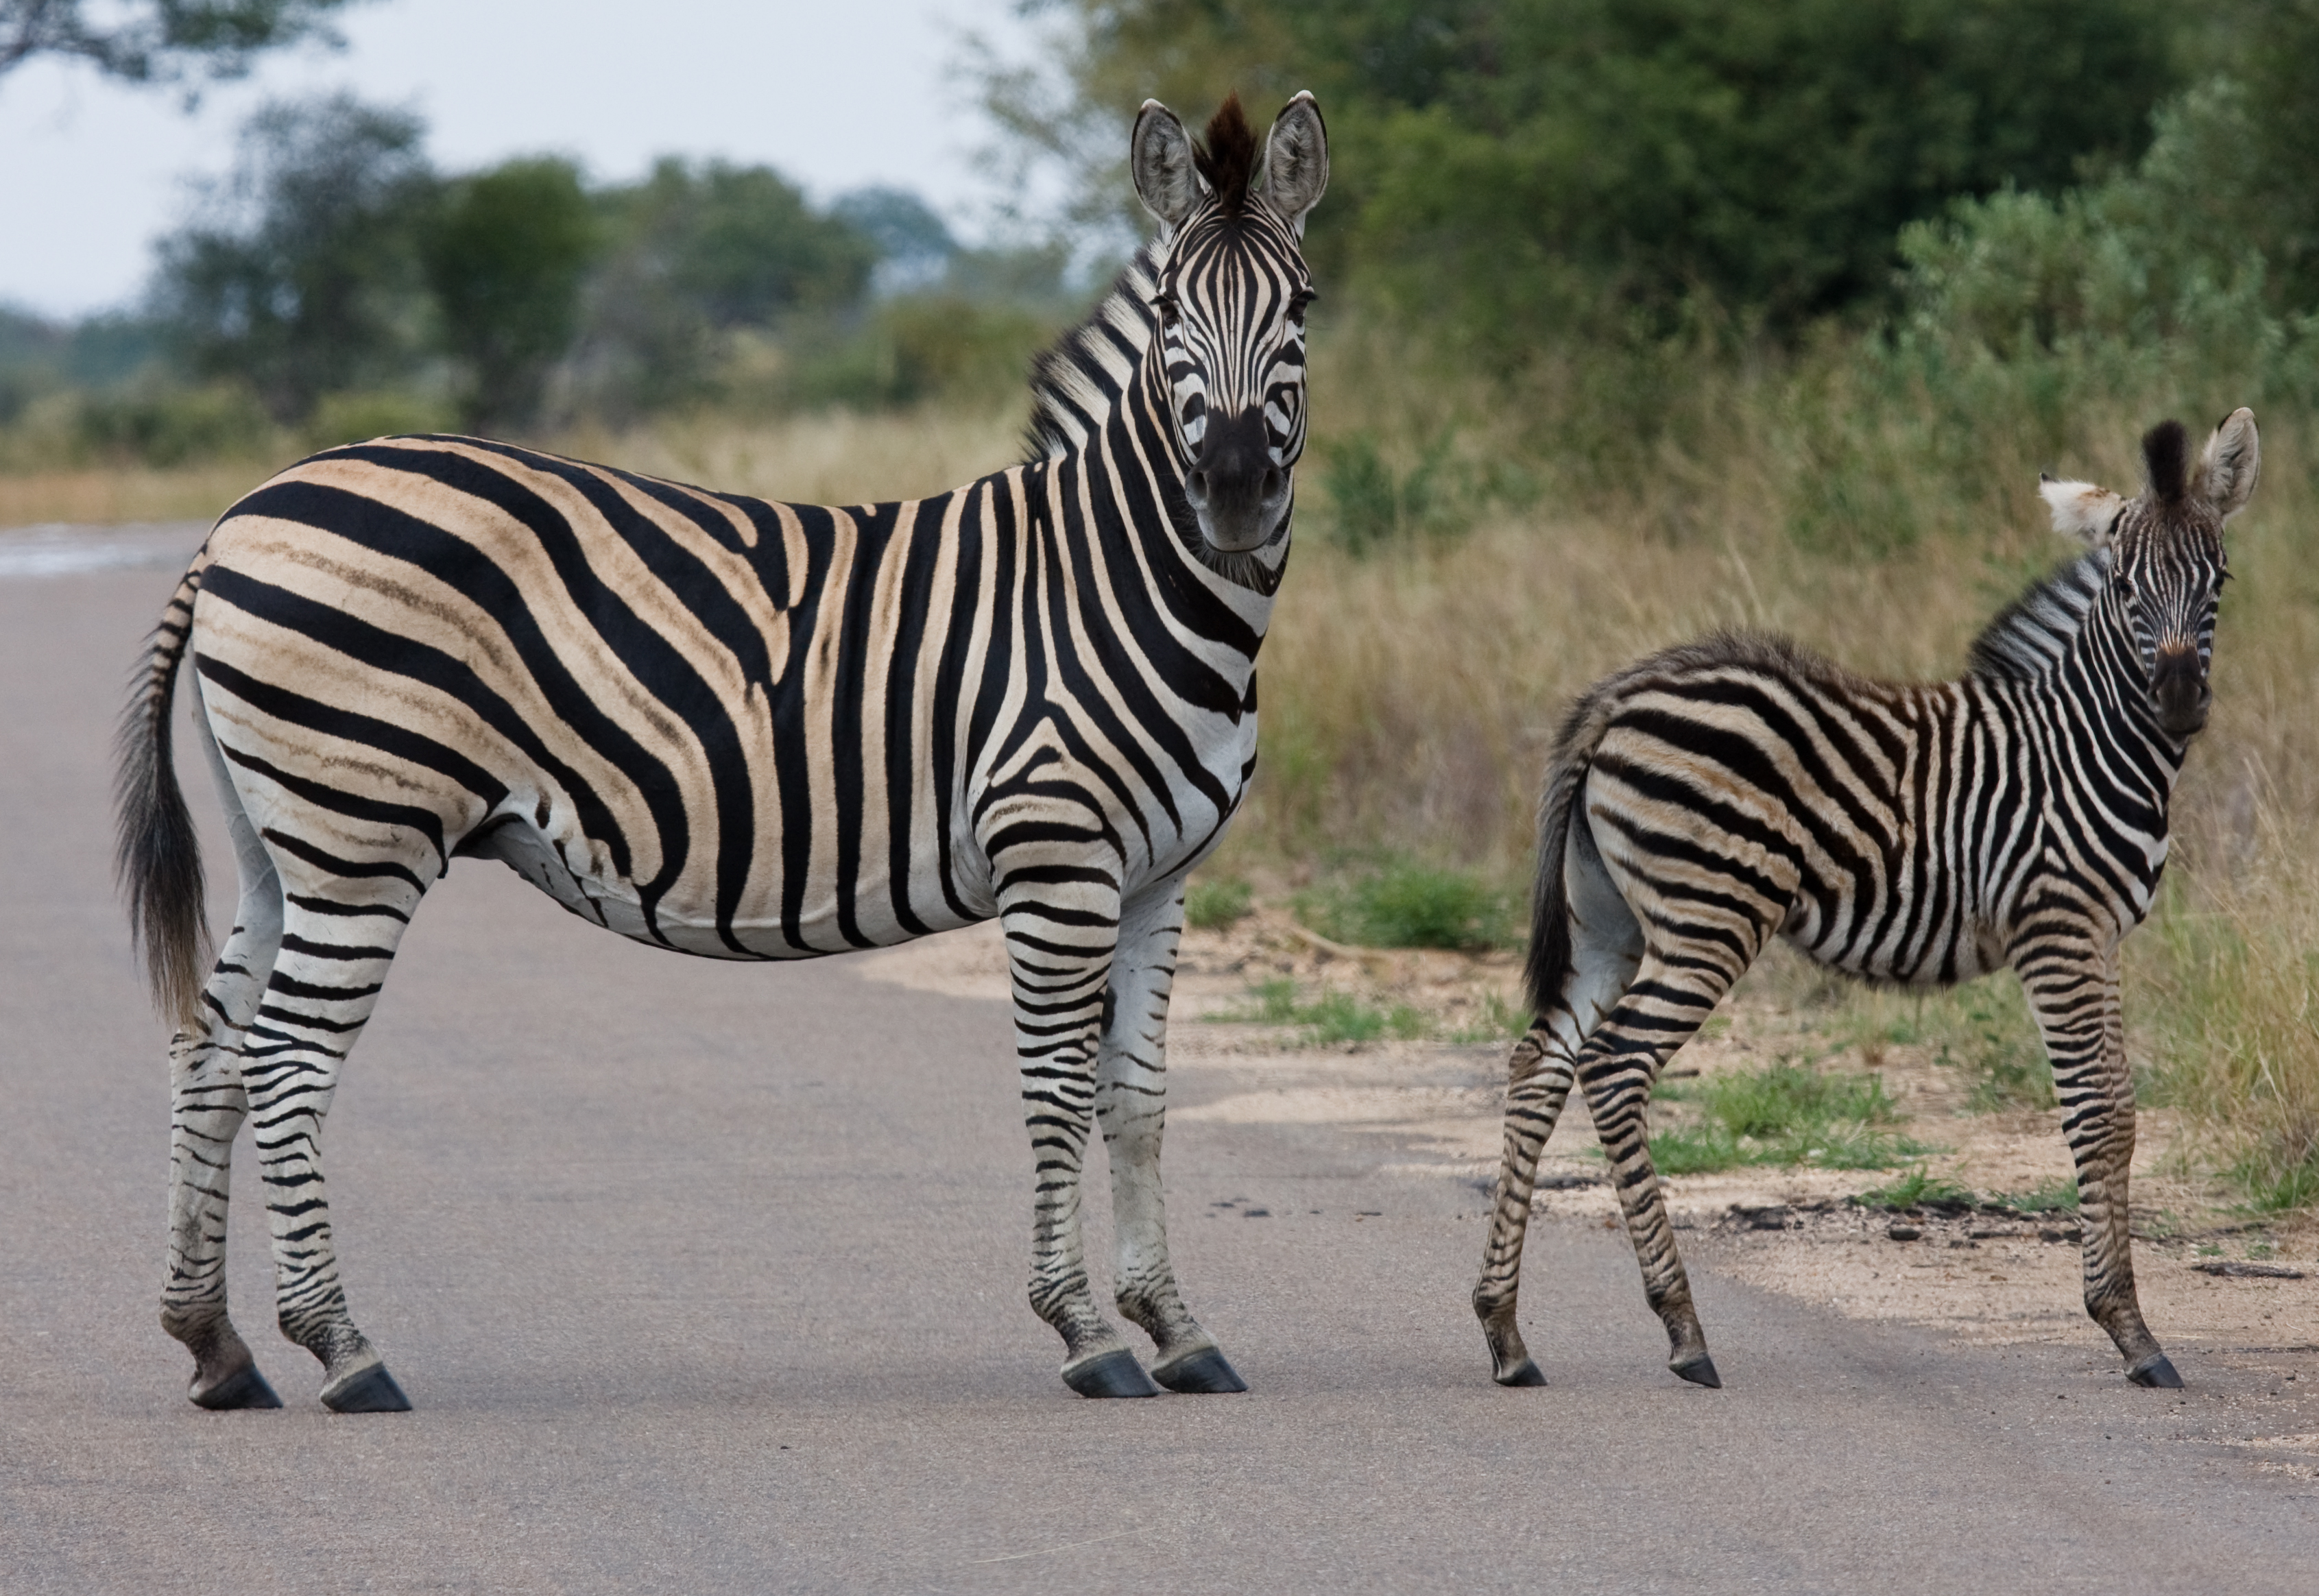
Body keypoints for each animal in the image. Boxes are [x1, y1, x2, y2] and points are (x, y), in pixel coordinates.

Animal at [115, 92, 1328, 1412]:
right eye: (1168, 316)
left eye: (1304, 305)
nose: (1231, 492)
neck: (1116, 578)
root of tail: (240, 516)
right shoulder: (1055, 854)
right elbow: (1056, 1092)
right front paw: (1087, 1334)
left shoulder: (1159, 873)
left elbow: (1139, 1098)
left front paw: (1178, 1326)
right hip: (361, 834)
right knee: (286, 1062)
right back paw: (343, 1348)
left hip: (285, 836)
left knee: (210, 1050)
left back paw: (216, 1346)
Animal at [1473, 410, 2259, 1392]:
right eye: (2123, 587)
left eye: (2217, 579)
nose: (2181, 701)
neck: (2084, 741)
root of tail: (1615, 698)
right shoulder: (2057, 928)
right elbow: (2094, 1109)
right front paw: (2130, 1331)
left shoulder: (2099, 938)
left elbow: (2116, 1107)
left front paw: (2125, 1320)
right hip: (1708, 919)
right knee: (1614, 1067)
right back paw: (1684, 1332)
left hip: (1606, 924)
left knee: (1537, 1065)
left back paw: (1506, 1335)